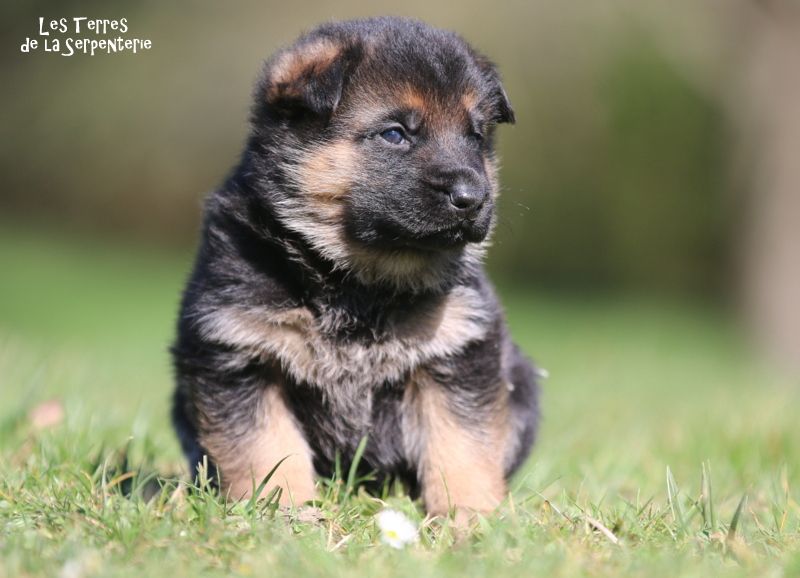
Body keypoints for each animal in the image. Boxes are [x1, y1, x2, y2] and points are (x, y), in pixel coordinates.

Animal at [172, 16, 540, 512]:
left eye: (475, 137)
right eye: (395, 133)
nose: (472, 198)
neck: (357, 281)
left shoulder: (456, 353)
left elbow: (462, 447)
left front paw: (473, 516)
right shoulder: (239, 356)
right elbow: (265, 450)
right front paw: (283, 513)